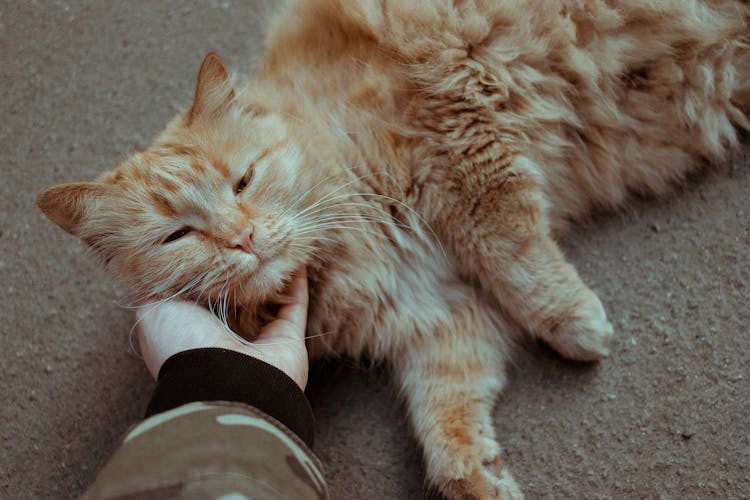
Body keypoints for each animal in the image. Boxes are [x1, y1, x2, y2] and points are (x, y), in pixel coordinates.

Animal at [36, 1, 750, 498]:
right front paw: (478, 481)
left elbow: (518, 255)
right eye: (177, 235)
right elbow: (446, 419)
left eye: (243, 180)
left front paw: (578, 323)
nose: (241, 238)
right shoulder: (442, 321)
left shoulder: (462, 138)